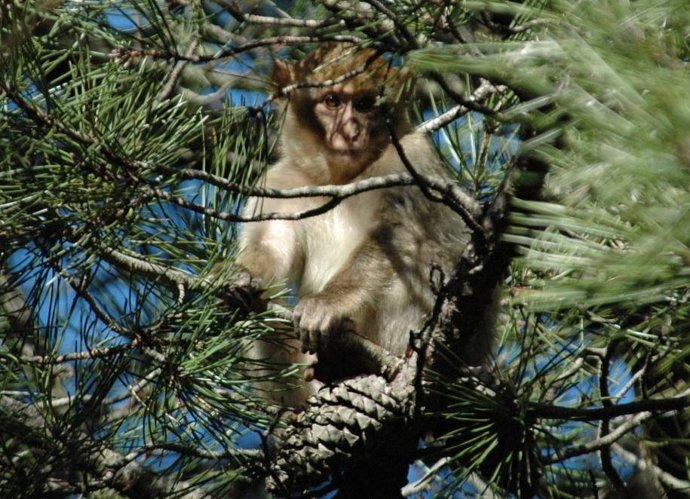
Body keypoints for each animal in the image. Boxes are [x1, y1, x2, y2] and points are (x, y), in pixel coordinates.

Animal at [237, 43, 494, 405]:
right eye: (332, 100)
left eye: (365, 104)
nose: (350, 131)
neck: (338, 180)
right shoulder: (278, 185)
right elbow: (270, 247)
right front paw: (242, 275)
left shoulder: (412, 160)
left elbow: (397, 237)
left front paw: (327, 304)